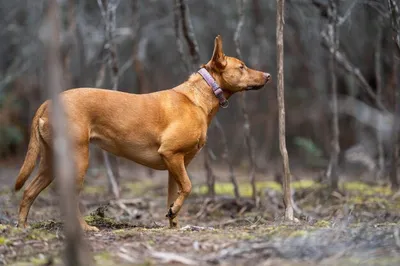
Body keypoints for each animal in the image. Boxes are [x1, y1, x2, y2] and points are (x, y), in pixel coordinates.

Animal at [14, 35, 270, 231]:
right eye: (242, 67)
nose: (268, 75)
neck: (200, 96)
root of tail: (48, 102)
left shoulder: (176, 164)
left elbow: (175, 194)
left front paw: (173, 222)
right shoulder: (171, 154)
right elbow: (188, 187)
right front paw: (174, 214)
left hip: (49, 161)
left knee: (28, 191)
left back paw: (23, 227)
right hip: (77, 158)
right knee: (68, 197)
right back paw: (85, 228)